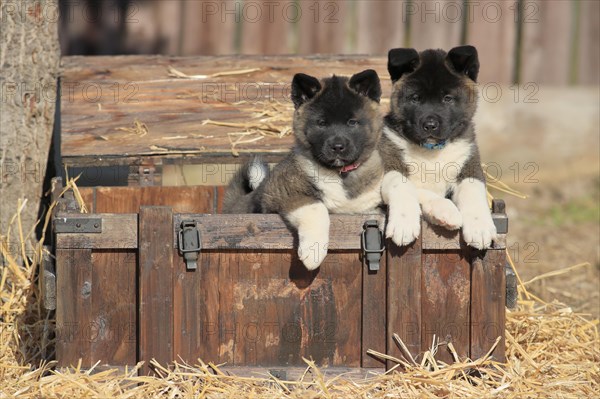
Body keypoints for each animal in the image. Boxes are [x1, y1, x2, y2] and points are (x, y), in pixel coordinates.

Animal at [224, 70, 384, 272]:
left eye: (352, 122)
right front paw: (313, 252)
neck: (339, 173)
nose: (337, 147)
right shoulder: (283, 191)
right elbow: (317, 208)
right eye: (321, 123)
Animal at [380, 46, 496, 250]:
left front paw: (479, 226)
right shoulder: (387, 163)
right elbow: (404, 185)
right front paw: (405, 222)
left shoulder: (470, 165)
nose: (430, 125)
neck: (431, 151)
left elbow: (473, 190)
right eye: (415, 98)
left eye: (447, 98)